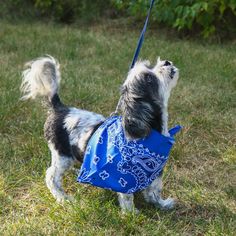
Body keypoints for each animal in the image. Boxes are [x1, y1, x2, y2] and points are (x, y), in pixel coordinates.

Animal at [20, 55, 179, 212]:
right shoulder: (122, 176)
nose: (166, 62)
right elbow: (127, 197)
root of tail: (60, 108)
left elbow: (155, 190)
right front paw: (131, 214)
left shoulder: (156, 171)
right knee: (51, 177)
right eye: (148, 78)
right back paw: (64, 198)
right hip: (62, 155)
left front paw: (161, 204)